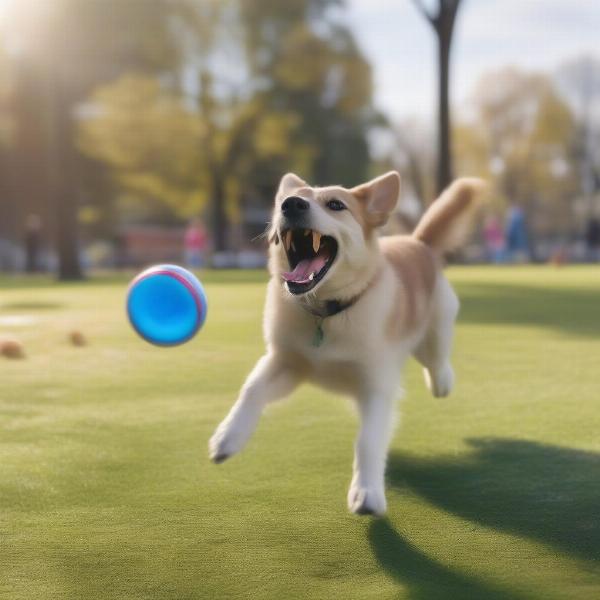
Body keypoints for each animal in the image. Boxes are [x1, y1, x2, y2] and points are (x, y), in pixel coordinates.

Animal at [209, 170, 486, 516]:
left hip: (434, 331)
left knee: (436, 360)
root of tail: (418, 242)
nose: (291, 204)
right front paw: (228, 437)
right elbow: (251, 390)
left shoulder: (377, 386)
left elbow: (368, 440)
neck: (327, 312)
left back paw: (442, 382)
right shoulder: (285, 362)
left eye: (335, 205)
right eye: (287, 200)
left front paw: (367, 492)